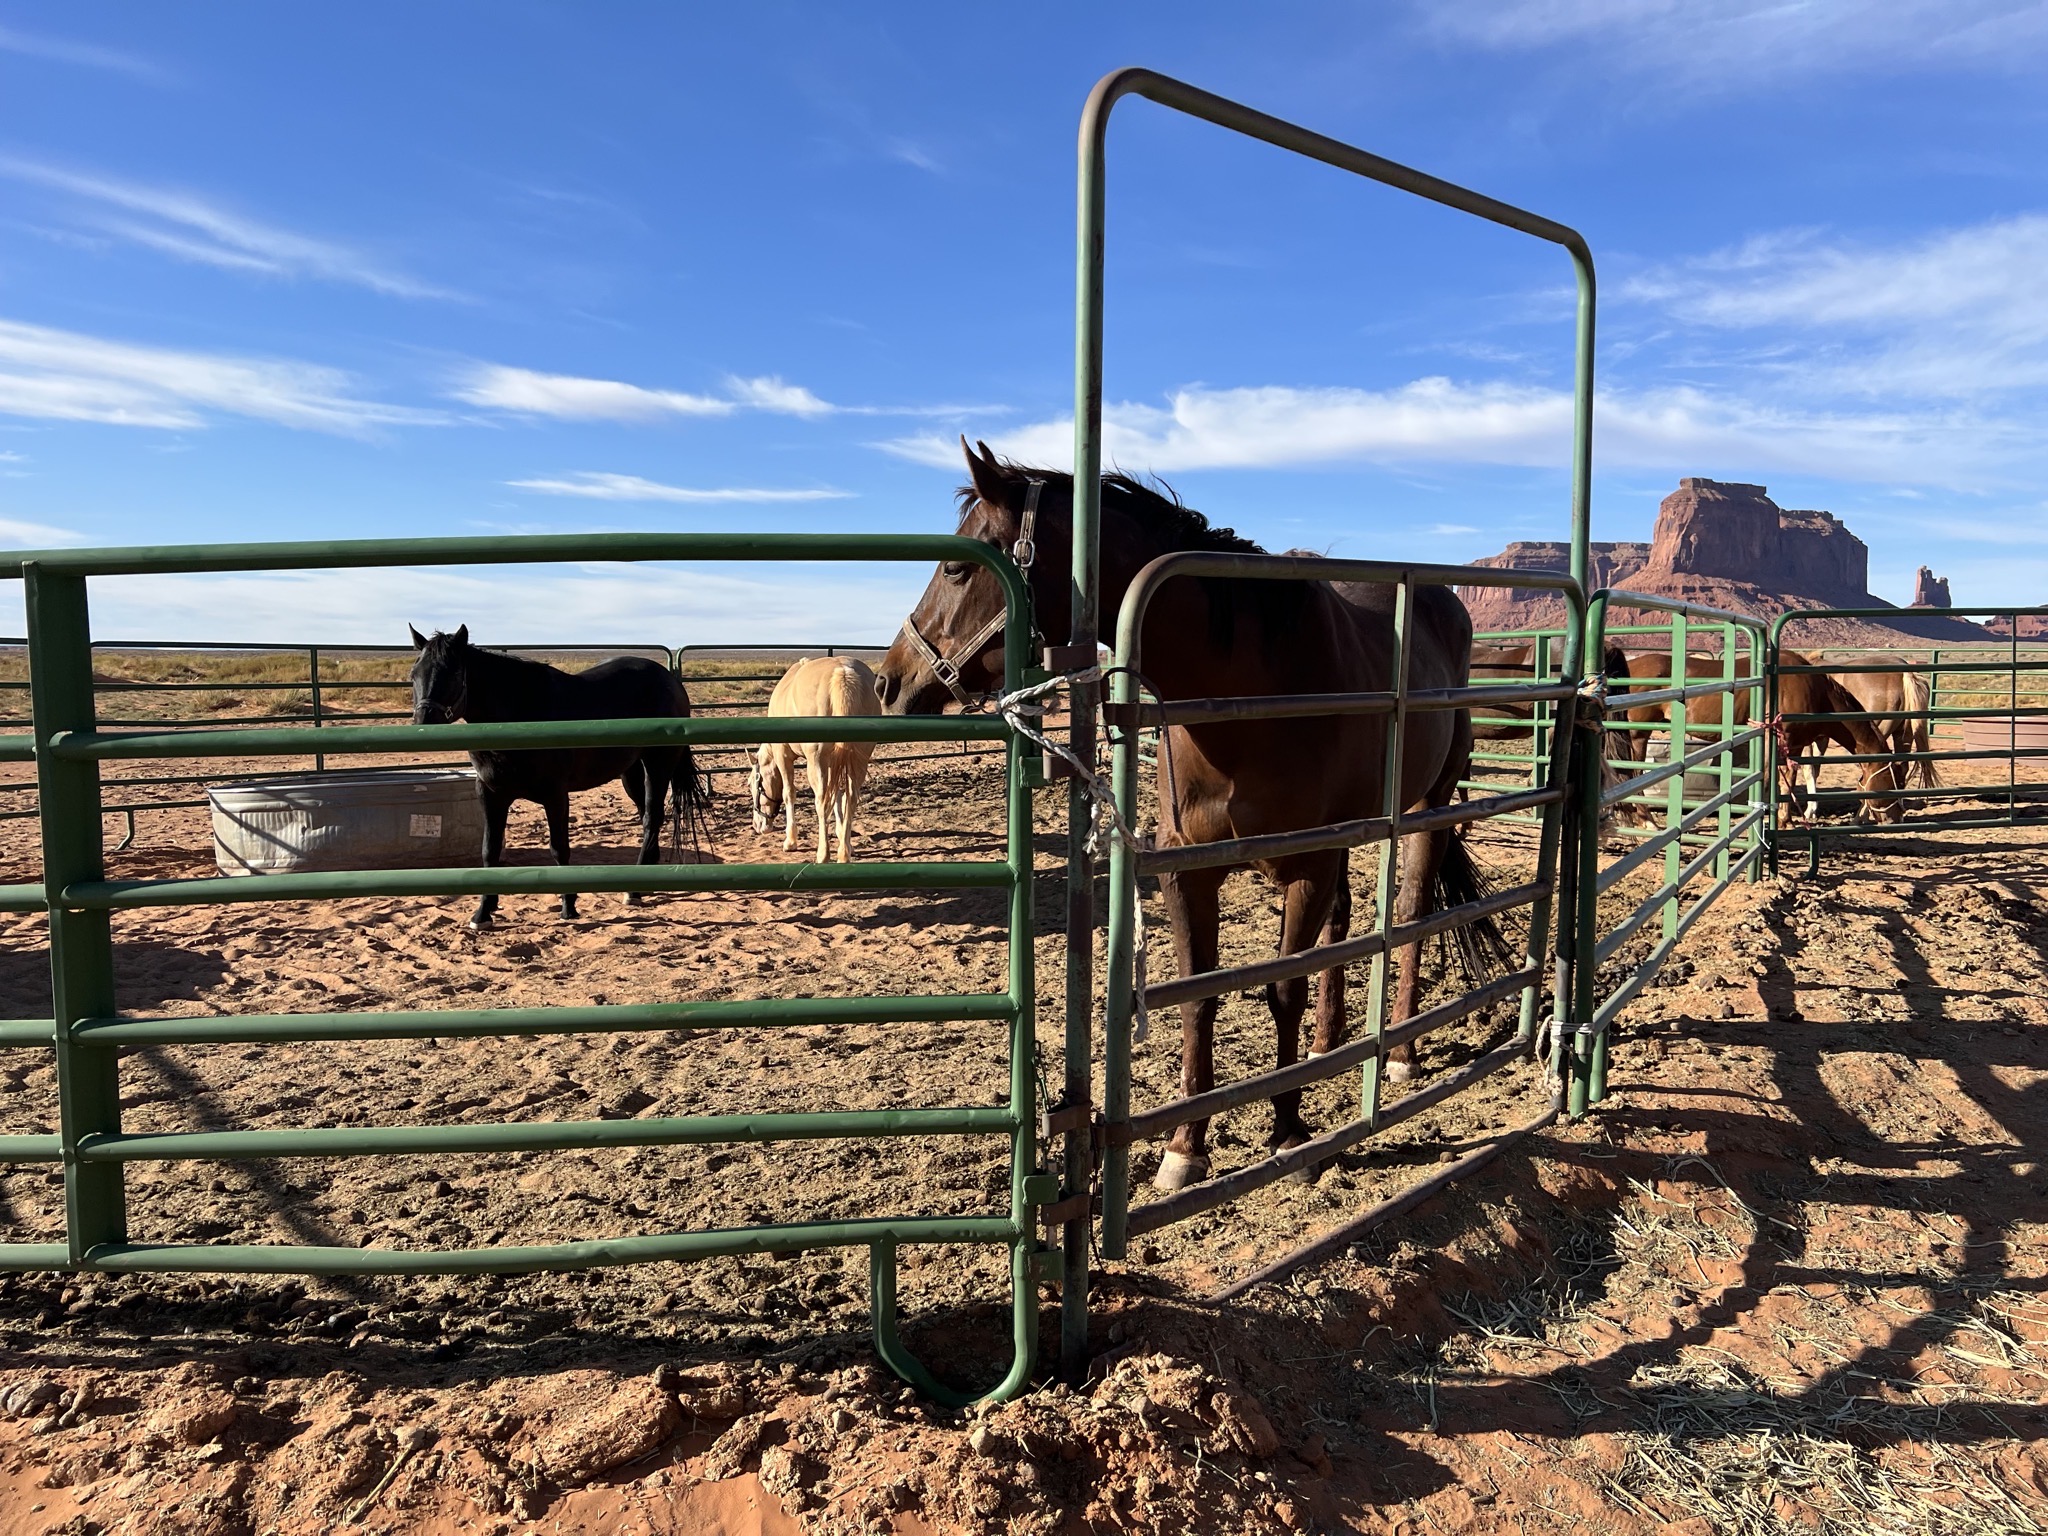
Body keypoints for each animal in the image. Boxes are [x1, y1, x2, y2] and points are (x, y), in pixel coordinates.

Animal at [408, 627, 710, 927]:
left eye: (453, 673)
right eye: (414, 675)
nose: (423, 725)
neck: (520, 714)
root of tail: (669, 679)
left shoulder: (555, 795)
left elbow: (559, 849)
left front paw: (569, 906)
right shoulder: (491, 794)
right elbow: (489, 851)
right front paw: (483, 912)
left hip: (659, 764)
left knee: (652, 817)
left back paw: (633, 891)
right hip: (631, 771)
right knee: (647, 815)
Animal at [750, 656, 882, 863]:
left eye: (752, 785)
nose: (757, 826)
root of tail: (843, 672)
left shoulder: (783, 756)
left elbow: (789, 793)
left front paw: (790, 841)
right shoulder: (835, 761)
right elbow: (837, 796)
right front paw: (843, 837)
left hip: (817, 762)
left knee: (821, 802)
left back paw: (823, 854)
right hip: (858, 759)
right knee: (850, 799)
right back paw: (844, 853)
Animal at [875, 440, 1501, 1193]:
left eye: (957, 567)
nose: (889, 681)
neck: (1252, 696)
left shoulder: (1307, 865)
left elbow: (1282, 990)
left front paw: (1290, 1133)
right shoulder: (1189, 873)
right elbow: (1201, 998)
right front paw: (1184, 1148)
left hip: (1426, 807)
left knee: (1408, 912)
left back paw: (1400, 1051)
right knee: (1347, 925)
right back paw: (1331, 1042)